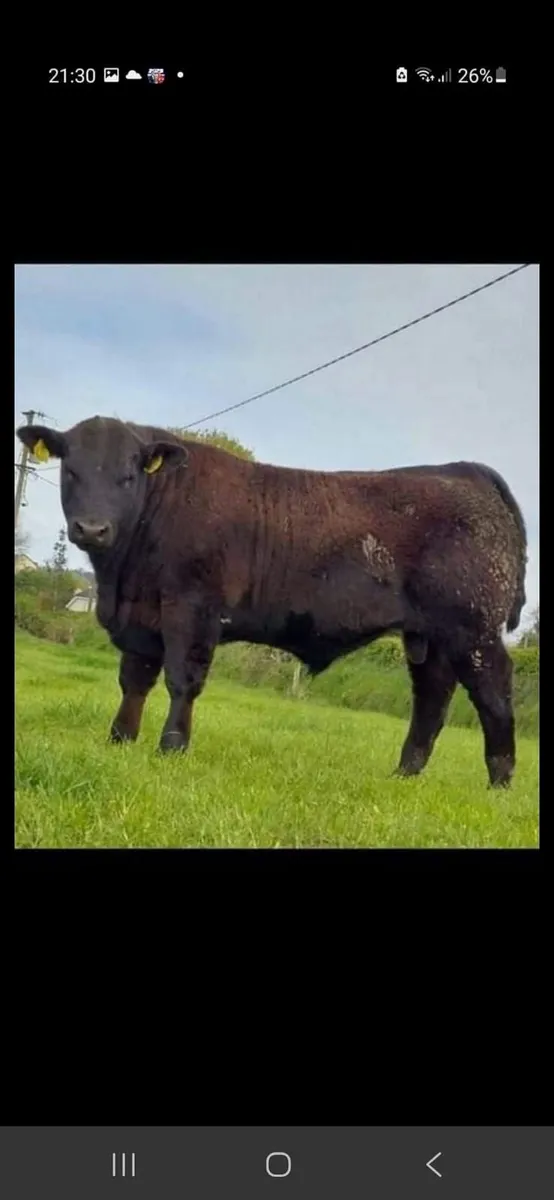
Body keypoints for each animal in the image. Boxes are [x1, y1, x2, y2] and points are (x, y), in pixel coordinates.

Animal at [17, 416, 528, 788]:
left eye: (127, 476)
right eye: (70, 470)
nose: (92, 528)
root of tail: (463, 471)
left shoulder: (192, 610)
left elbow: (182, 681)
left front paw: (172, 747)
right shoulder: (143, 620)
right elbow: (134, 681)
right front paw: (120, 740)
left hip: (473, 630)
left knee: (493, 694)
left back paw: (499, 783)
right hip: (429, 636)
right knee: (432, 698)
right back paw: (404, 774)